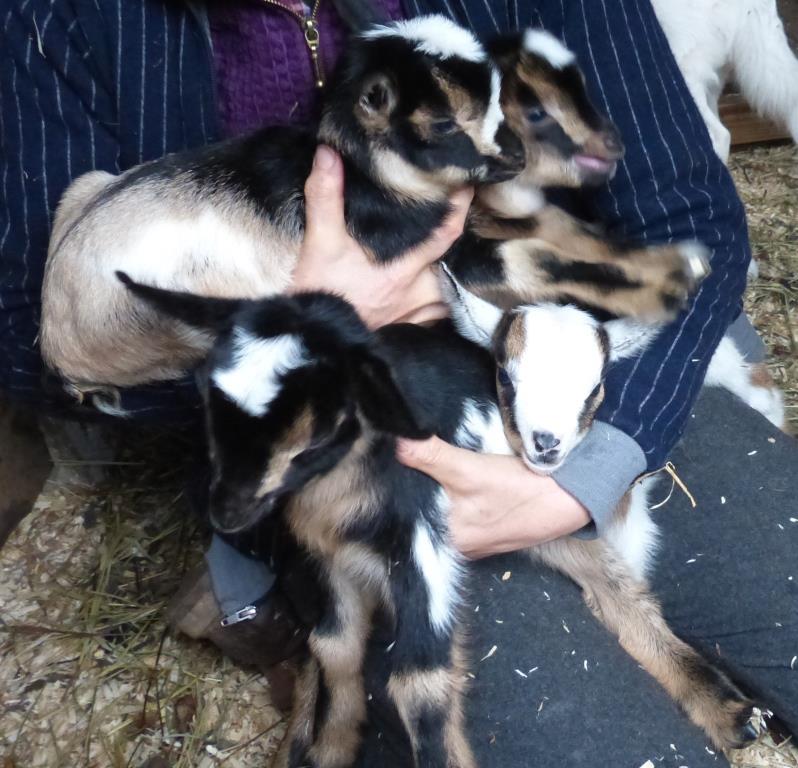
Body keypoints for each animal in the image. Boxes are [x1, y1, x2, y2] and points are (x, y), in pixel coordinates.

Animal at [40, 19, 707, 400]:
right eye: (535, 109)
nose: (615, 144)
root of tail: (55, 345)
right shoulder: (450, 252)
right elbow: (538, 263)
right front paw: (665, 291)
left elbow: (572, 232)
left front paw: (677, 262)